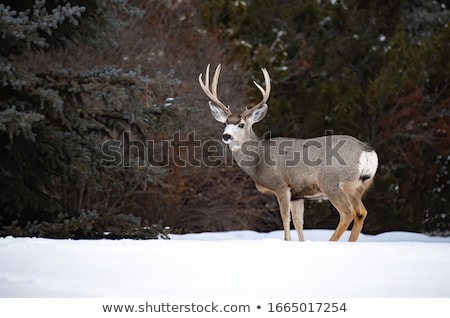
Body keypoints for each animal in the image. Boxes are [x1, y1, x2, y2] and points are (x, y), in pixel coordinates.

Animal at [199, 64, 378, 241]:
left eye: (241, 124)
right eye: (225, 123)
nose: (226, 136)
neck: (258, 160)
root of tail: (367, 151)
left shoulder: (281, 186)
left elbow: (285, 217)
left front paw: (287, 241)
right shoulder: (298, 195)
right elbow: (299, 222)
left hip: (331, 180)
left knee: (348, 212)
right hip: (358, 186)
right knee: (361, 213)